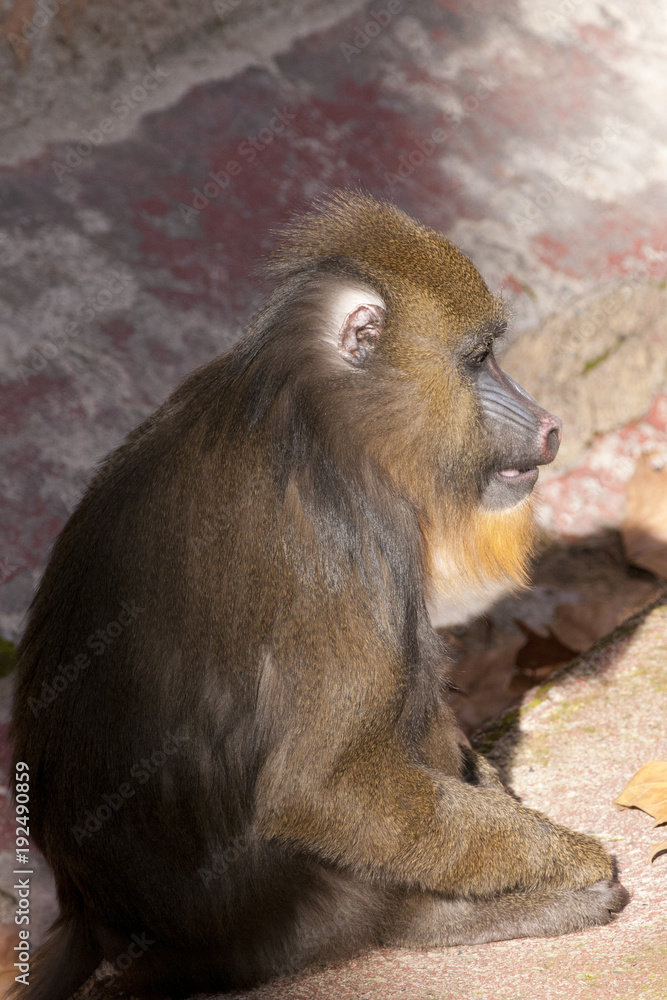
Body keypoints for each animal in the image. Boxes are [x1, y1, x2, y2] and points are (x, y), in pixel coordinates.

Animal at [9, 193, 629, 1000]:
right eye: (478, 358)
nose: (549, 424)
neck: (319, 406)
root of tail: (93, 912)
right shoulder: (353, 537)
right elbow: (322, 787)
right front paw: (565, 860)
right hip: (288, 908)